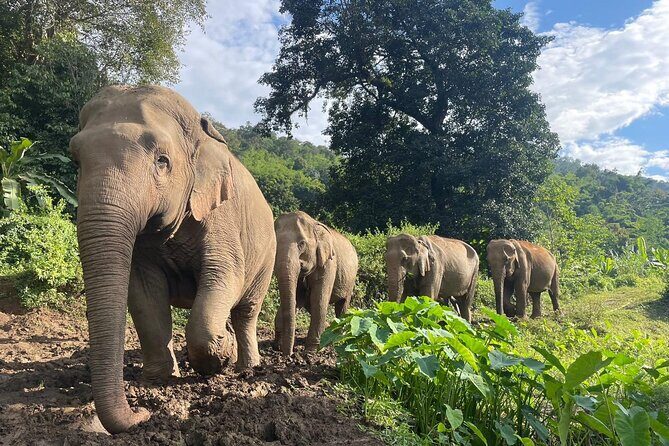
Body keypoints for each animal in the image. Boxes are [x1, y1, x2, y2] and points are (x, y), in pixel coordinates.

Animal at [69, 85, 276, 433]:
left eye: (162, 161)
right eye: (76, 161)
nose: (142, 412)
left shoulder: (222, 216)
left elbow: (224, 275)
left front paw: (221, 357)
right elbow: (143, 293)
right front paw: (158, 380)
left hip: (267, 257)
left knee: (247, 311)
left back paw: (246, 367)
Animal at [274, 211, 358, 355]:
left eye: (302, 244)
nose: (288, 355)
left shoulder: (329, 263)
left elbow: (318, 298)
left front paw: (311, 351)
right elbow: (298, 298)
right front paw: (277, 346)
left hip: (350, 280)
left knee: (342, 305)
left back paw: (339, 337)